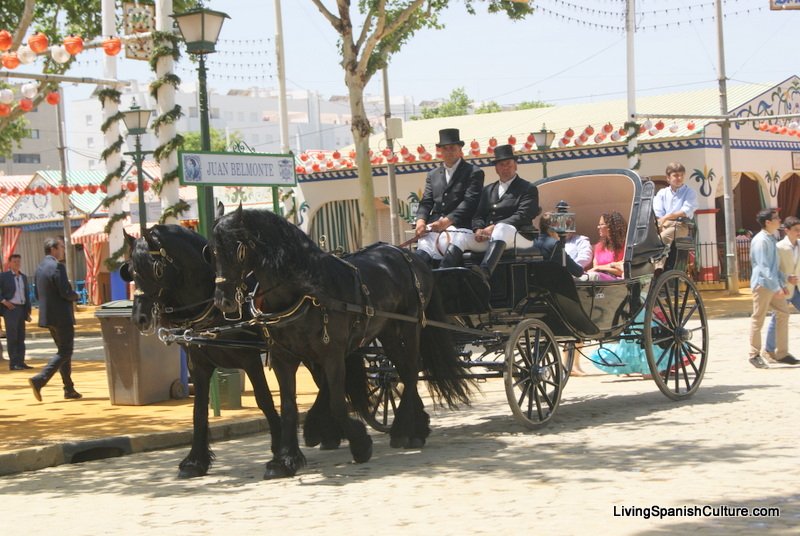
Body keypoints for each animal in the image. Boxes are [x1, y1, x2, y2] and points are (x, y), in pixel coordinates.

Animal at [120, 224, 286, 480]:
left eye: (156, 268)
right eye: (130, 270)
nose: (140, 318)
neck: (214, 306)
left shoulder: (249, 359)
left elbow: (265, 400)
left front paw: (279, 455)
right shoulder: (198, 365)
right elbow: (198, 410)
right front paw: (195, 460)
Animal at [212, 208, 476, 478]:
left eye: (237, 248)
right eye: (212, 251)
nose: (223, 301)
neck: (304, 289)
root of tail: (410, 256)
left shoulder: (333, 354)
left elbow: (338, 402)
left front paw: (359, 444)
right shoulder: (283, 358)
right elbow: (288, 407)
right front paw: (285, 459)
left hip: (410, 326)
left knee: (412, 370)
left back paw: (403, 430)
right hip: (388, 332)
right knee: (402, 369)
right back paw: (416, 427)